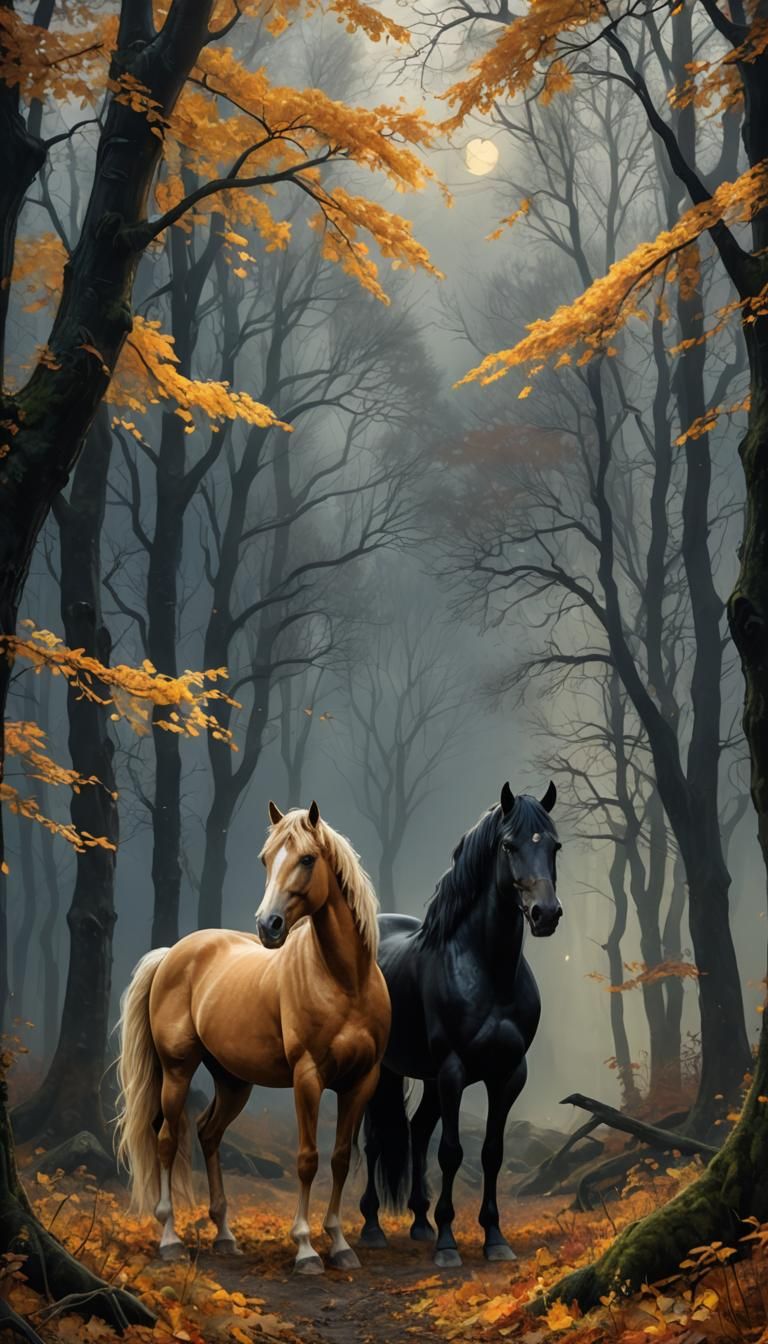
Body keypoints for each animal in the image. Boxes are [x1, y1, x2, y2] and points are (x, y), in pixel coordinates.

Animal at [114, 800, 390, 1274]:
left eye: (307, 859)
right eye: (265, 859)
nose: (268, 926)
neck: (344, 982)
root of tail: (171, 955)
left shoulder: (361, 1082)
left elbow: (338, 1159)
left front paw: (339, 1244)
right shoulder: (307, 1078)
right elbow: (307, 1159)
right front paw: (305, 1248)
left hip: (233, 1082)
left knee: (208, 1134)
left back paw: (225, 1234)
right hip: (176, 1072)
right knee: (168, 1140)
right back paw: (170, 1239)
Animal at [358, 782, 562, 1267]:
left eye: (555, 846)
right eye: (508, 845)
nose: (546, 914)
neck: (490, 971)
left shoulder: (508, 1074)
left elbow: (492, 1153)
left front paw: (495, 1238)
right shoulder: (454, 1070)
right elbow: (451, 1152)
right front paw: (449, 1244)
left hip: (427, 1078)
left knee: (416, 1131)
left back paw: (419, 1221)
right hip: (384, 1071)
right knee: (374, 1141)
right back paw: (373, 1226)